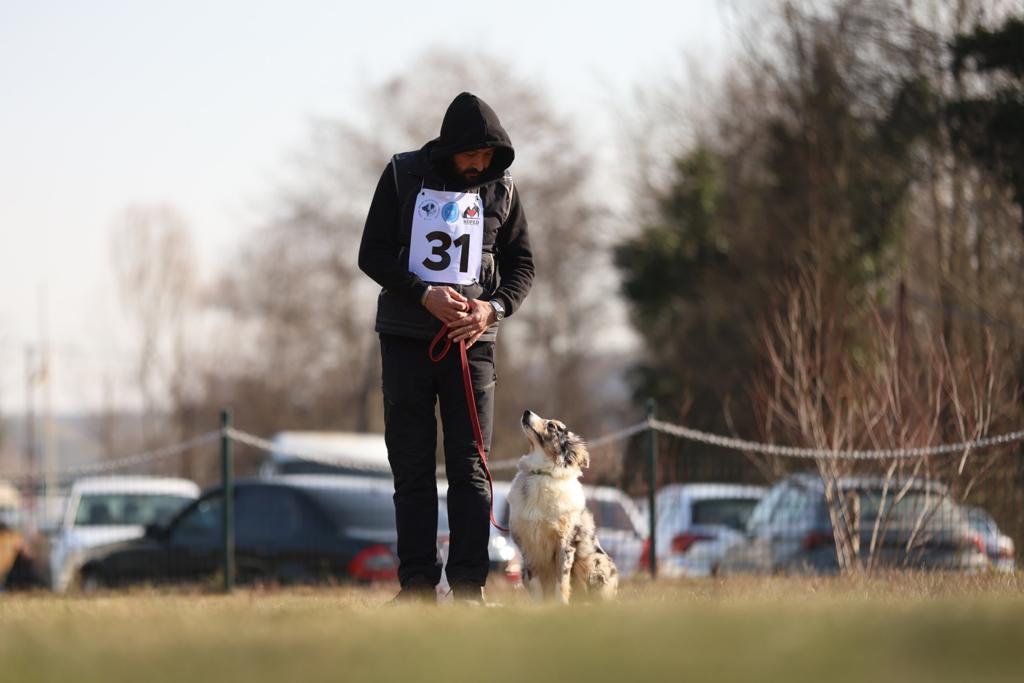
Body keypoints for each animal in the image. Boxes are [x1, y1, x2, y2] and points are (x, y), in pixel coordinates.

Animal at [507, 409, 618, 602]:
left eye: (551, 425)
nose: (526, 412)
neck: (541, 472)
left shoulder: (565, 543)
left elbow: (562, 582)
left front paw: (560, 605)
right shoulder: (528, 546)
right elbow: (536, 586)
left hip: (594, 562)